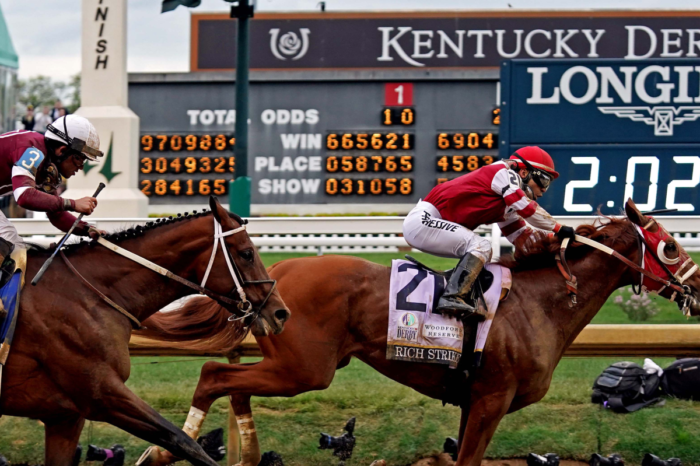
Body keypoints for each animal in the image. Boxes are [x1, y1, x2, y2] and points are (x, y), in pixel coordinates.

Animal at [0, 198, 288, 466]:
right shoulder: (101, 394)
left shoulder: (65, 416)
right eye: (247, 253)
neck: (85, 293)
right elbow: (182, 440)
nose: (280, 313)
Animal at [137, 202, 700, 466]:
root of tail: (273, 274)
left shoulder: (477, 401)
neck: (539, 303)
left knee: (233, 384)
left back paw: (245, 452)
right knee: (214, 374)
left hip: (292, 364)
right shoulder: (493, 398)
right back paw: (163, 450)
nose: (697, 285)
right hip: (305, 369)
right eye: (671, 247)